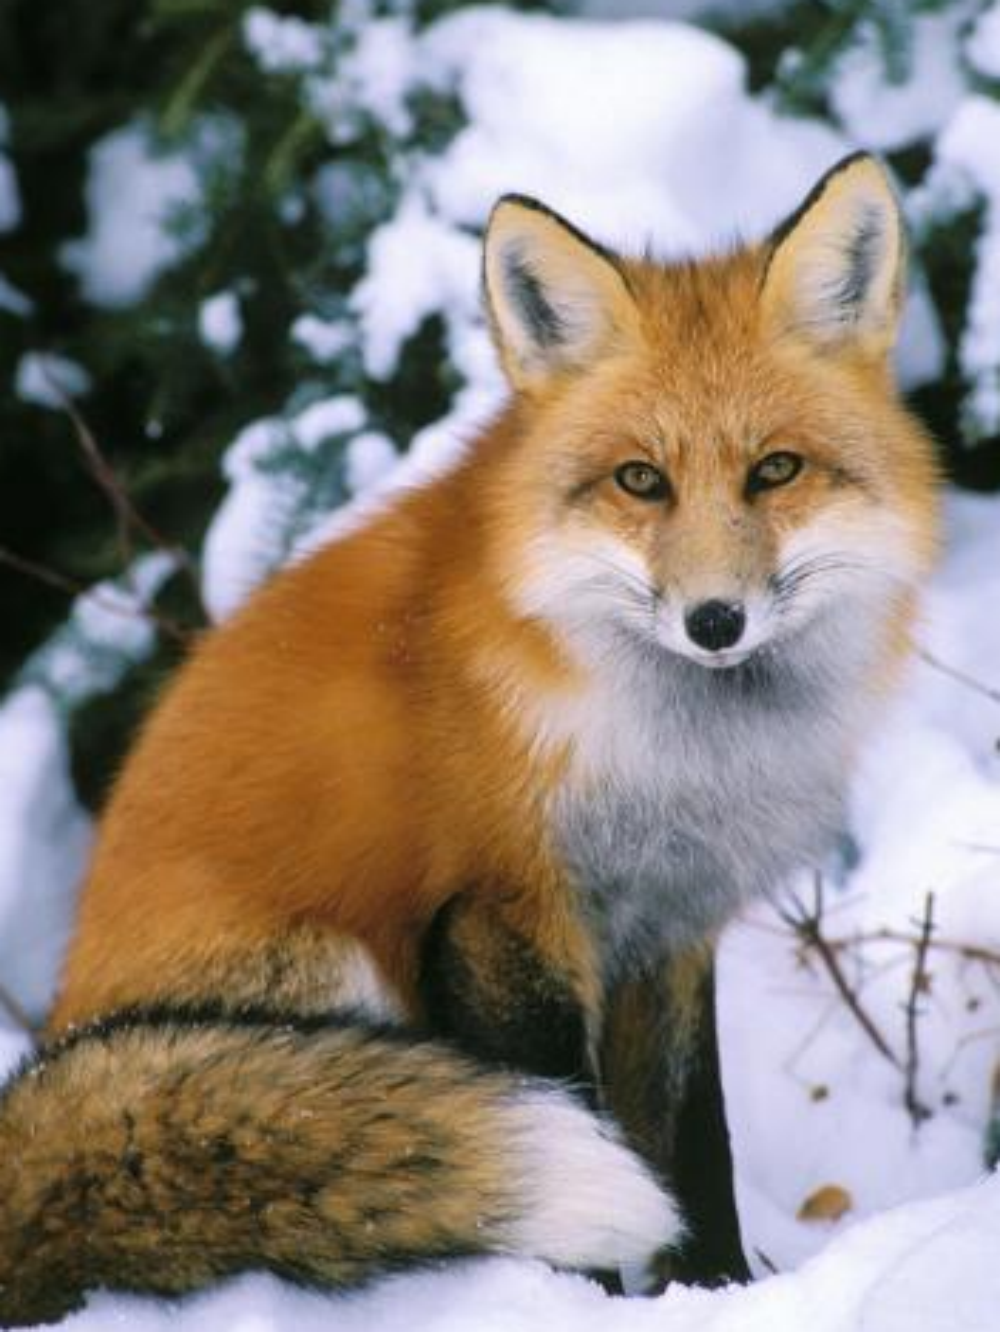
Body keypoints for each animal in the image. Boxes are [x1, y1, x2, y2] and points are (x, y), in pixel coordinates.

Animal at [0, 152, 939, 1327]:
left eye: (775, 471)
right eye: (641, 480)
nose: (715, 621)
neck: (674, 757)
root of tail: (67, 1030)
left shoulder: (667, 934)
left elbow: (692, 1144)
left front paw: (715, 1289)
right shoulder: (499, 914)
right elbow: (577, 1104)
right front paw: (575, 1302)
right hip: (330, 979)